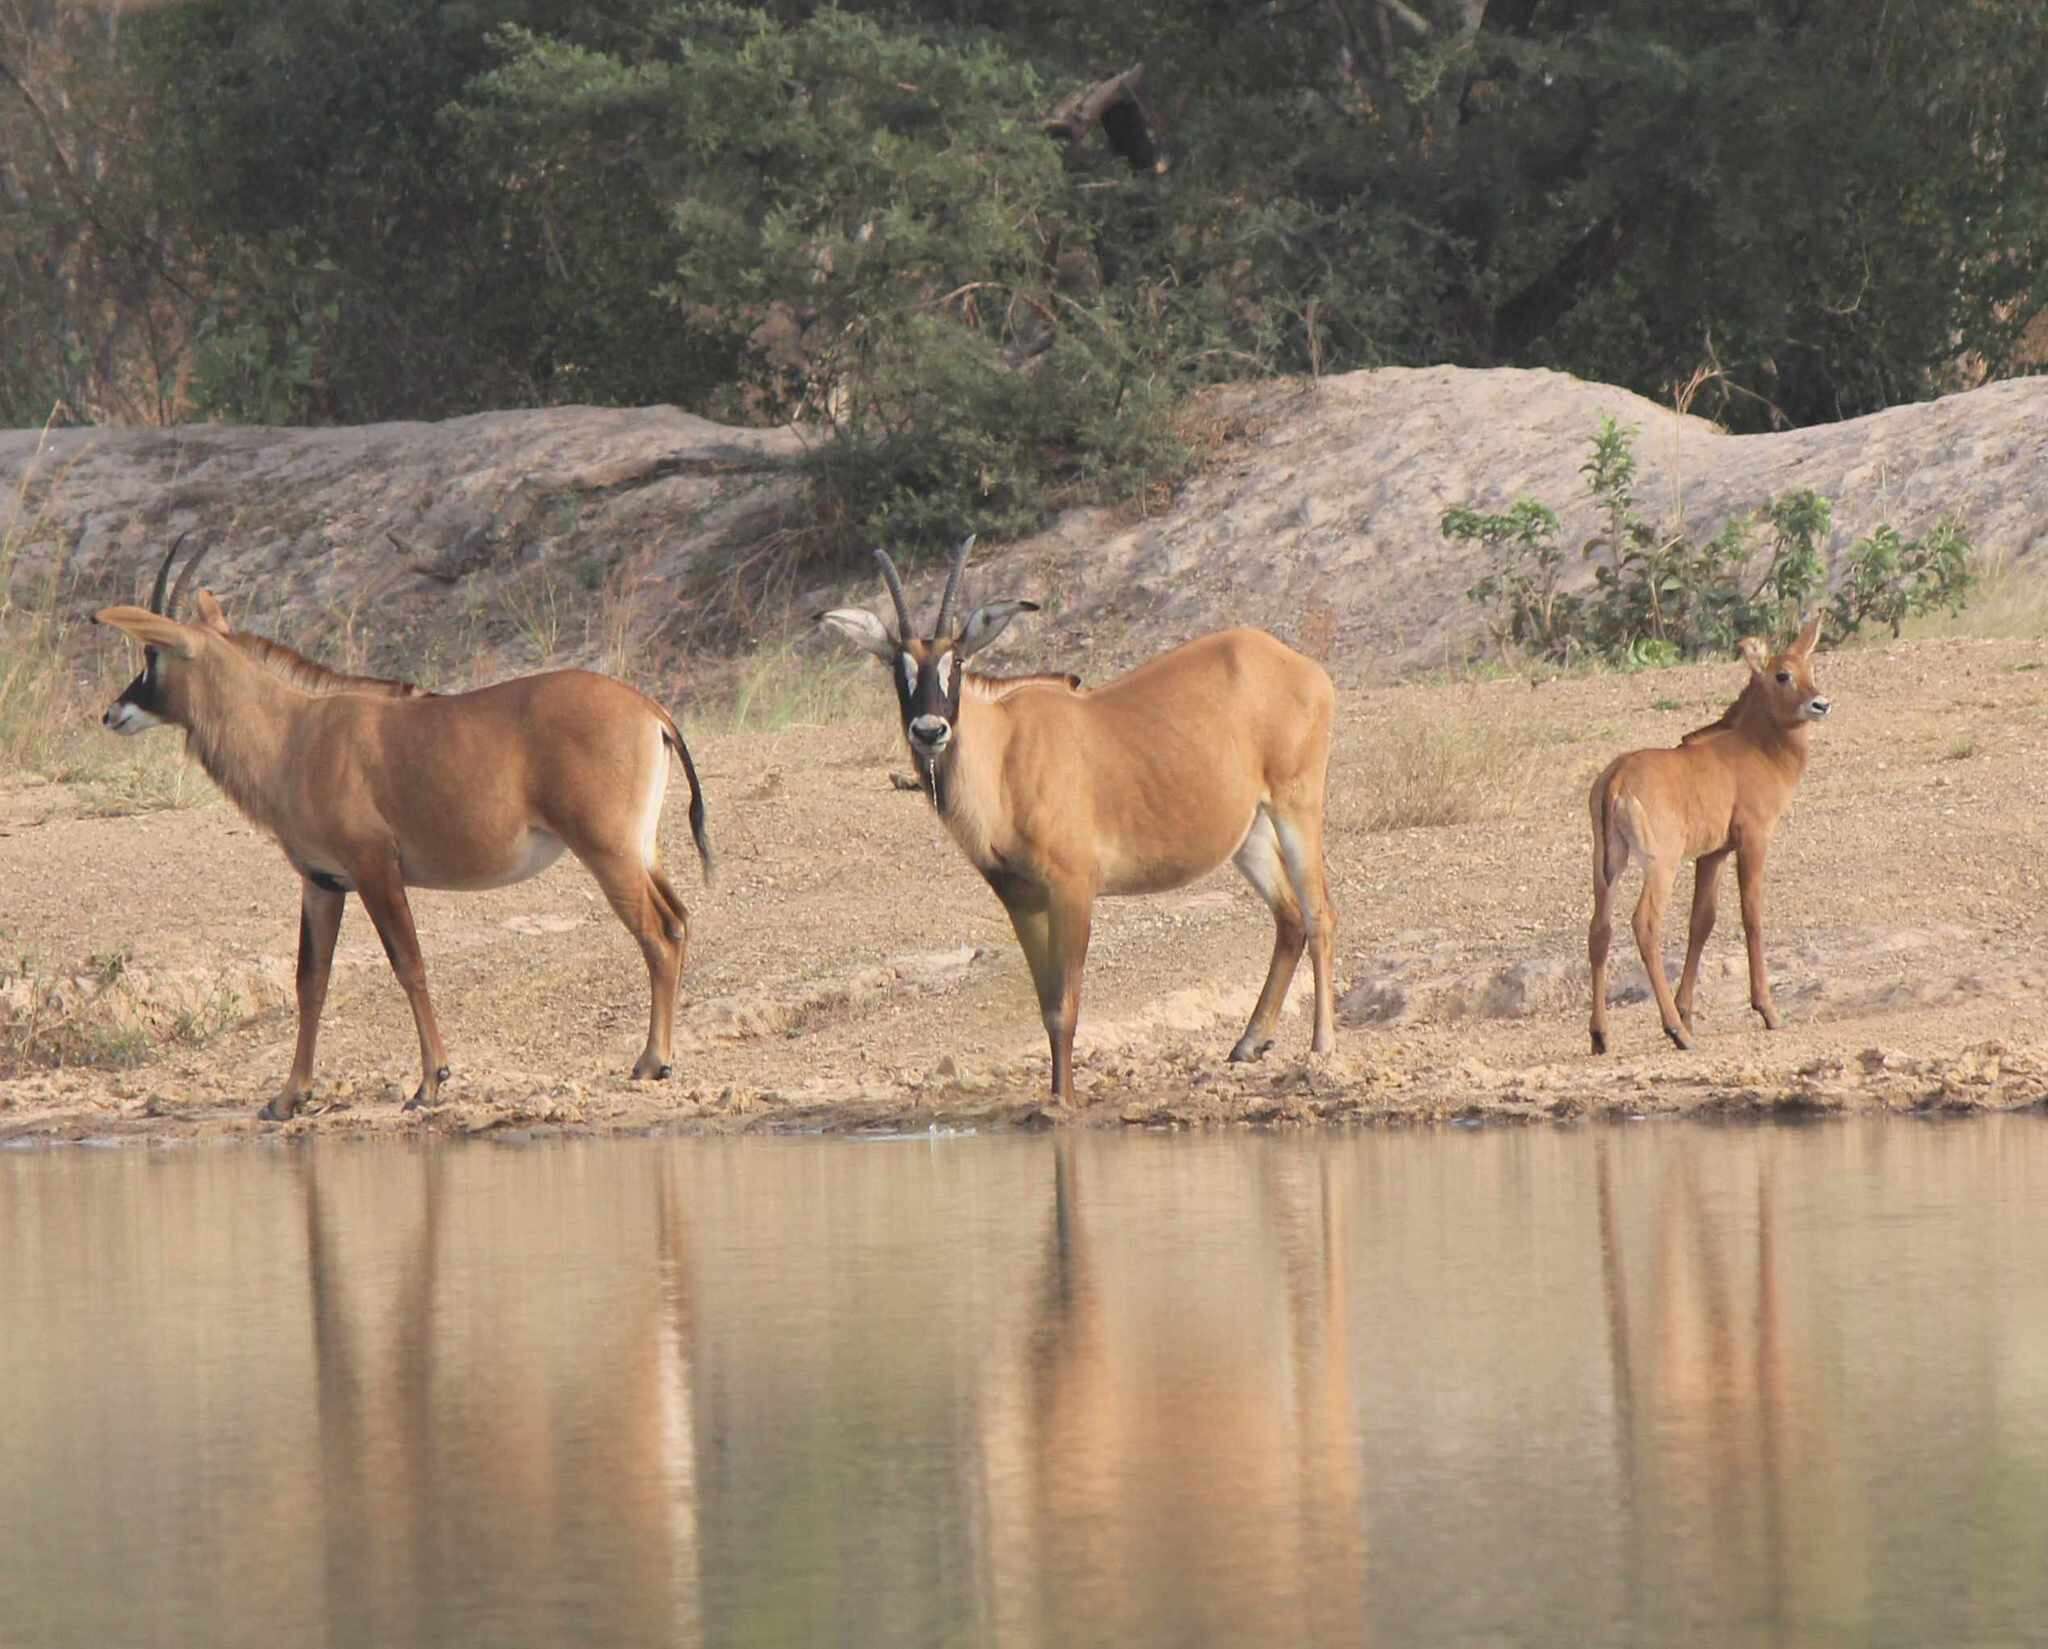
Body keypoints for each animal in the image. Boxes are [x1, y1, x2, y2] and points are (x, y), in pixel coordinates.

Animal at [99, 540, 716, 1122]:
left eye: (152, 653)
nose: (112, 714)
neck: (294, 734)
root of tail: (651, 710)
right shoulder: (322, 882)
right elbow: (310, 982)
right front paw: (289, 1097)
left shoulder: (375, 868)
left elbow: (409, 966)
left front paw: (428, 1084)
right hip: (639, 850)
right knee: (679, 920)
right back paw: (658, 1056)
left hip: (607, 850)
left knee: (657, 933)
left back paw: (651, 1061)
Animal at [819, 536, 1343, 1106]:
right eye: (899, 669)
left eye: (955, 662)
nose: (930, 730)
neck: (1002, 753)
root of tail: (1298, 665)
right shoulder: (1020, 900)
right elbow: (1047, 1004)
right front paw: (1054, 1096)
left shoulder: (1072, 890)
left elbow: (1066, 1005)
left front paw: (1064, 1103)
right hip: (1248, 834)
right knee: (1289, 916)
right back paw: (1249, 1043)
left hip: (1297, 804)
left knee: (1318, 914)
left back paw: (1321, 1046)